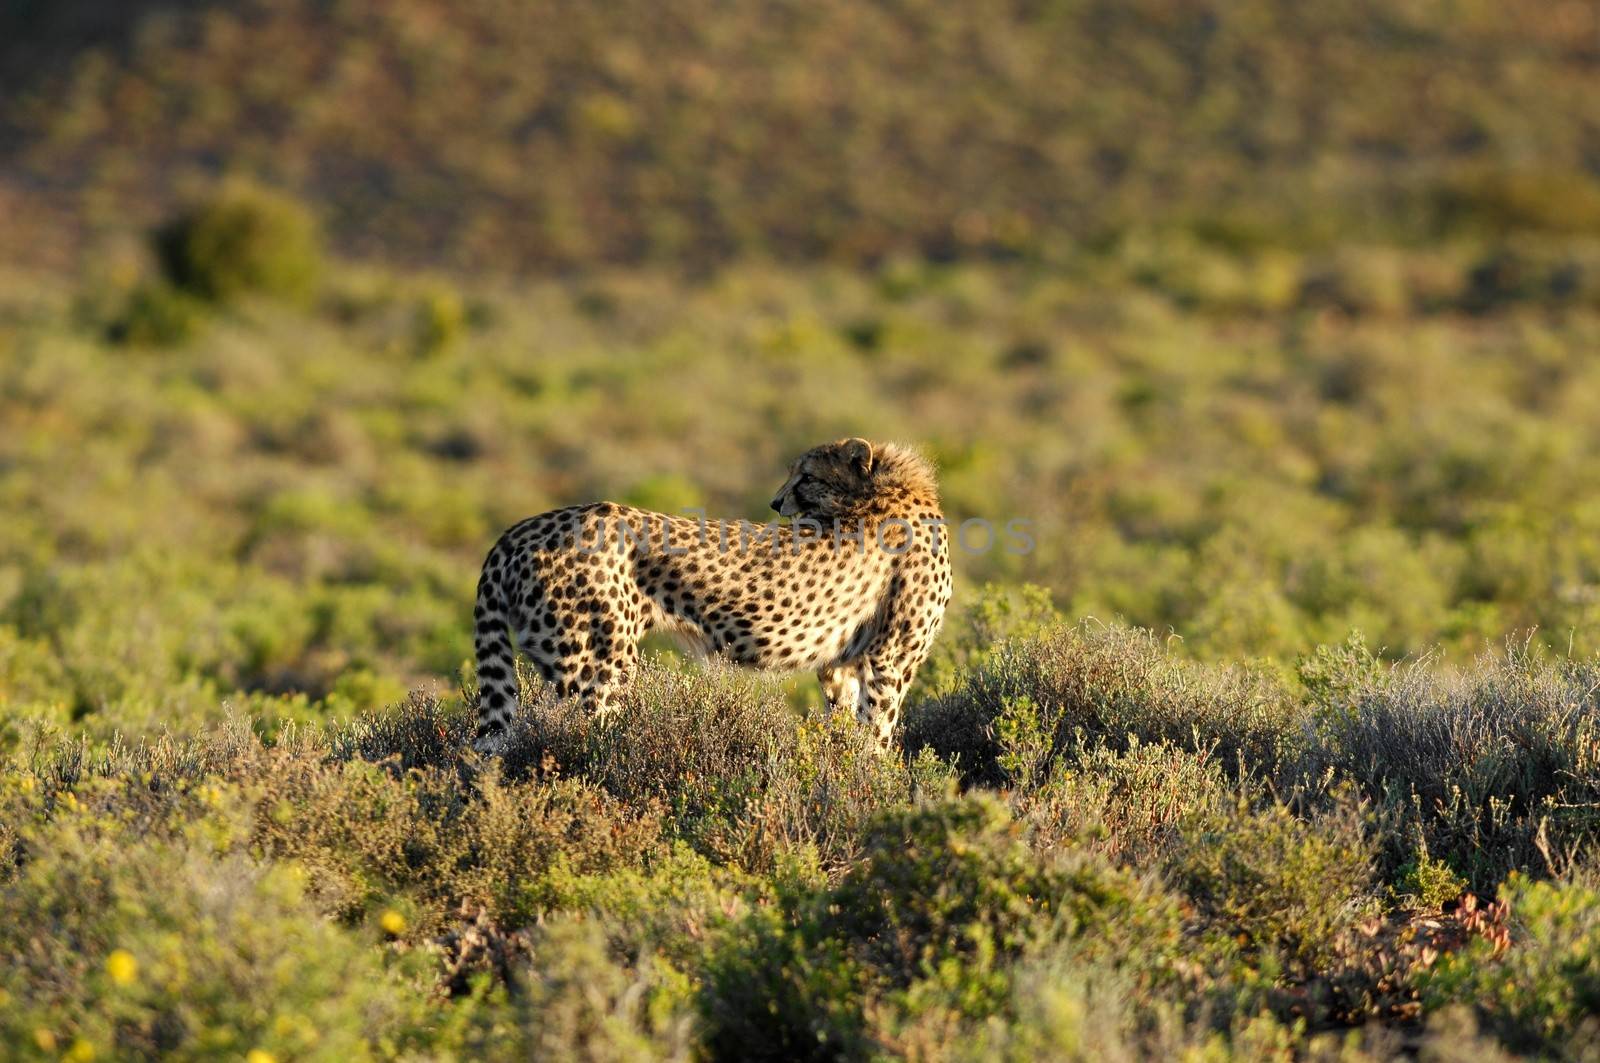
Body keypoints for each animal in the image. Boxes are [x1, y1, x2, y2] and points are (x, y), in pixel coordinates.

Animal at [470, 438, 947, 755]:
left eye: (807, 476)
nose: (775, 503)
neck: (880, 493)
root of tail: (523, 527)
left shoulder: (843, 663)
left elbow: (847, 723)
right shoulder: (891, 657)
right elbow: (878, 732)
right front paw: (873, 784)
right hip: (598, 665)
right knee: (576, 738)